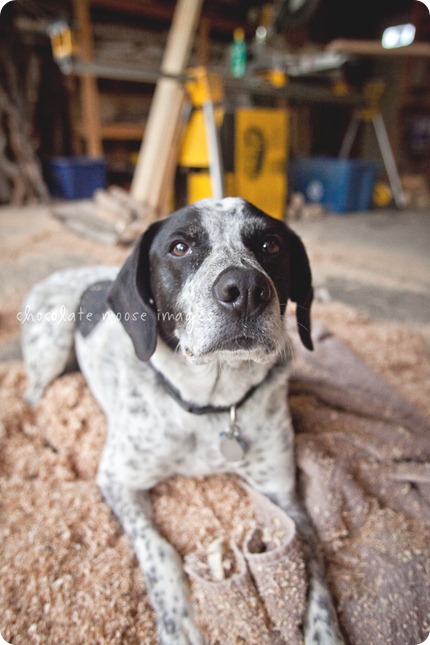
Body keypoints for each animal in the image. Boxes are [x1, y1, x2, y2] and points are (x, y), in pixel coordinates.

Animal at [21, 199, 342, 640]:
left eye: (271, 245)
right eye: (179, 247)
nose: (245, 289)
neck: (210, 405)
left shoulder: (282, 495)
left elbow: (313, 570)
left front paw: (325, 631)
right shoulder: (117, 479)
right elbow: (160, 550)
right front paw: (178, 622)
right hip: (49, 348)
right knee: (33, 396)